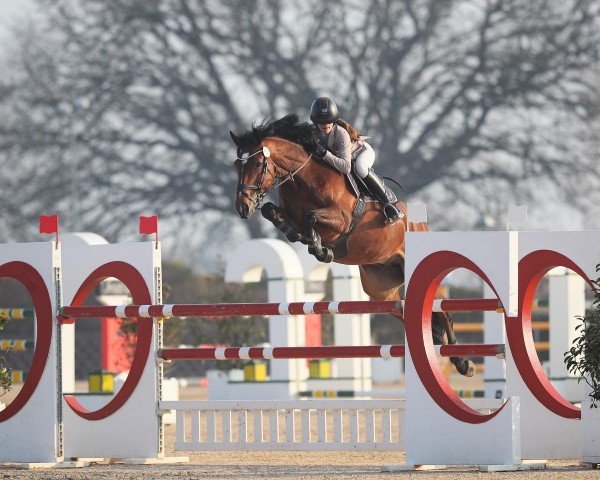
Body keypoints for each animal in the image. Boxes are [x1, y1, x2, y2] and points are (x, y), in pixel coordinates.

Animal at [231, 114, 478, 376]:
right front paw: (300, 236)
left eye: (258, 164)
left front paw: (320, 248)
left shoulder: (341, 219)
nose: (243, 207)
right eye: (237, 166)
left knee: (443, 311)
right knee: (408, 311)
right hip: (381, 288)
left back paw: (464, 363)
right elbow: (271, 210)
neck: (304, 179)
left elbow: (310, 217)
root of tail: (419, 224)